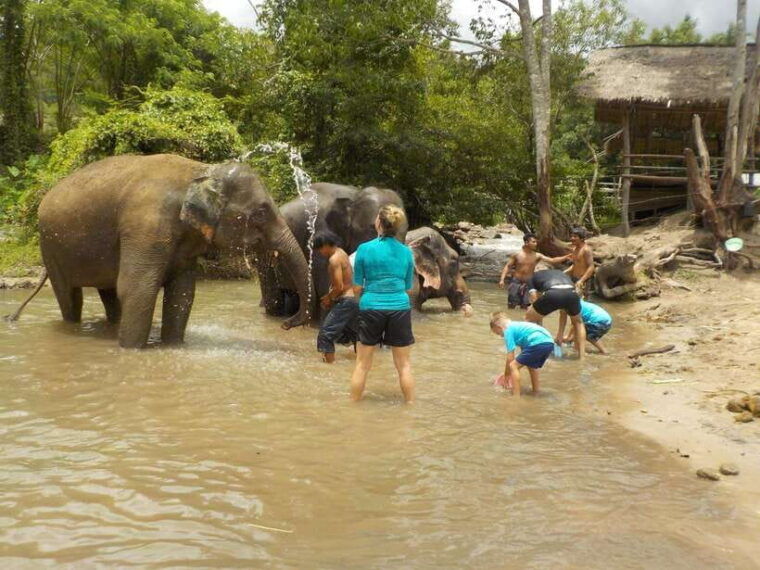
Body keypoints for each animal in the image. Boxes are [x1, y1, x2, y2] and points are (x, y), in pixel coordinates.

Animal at [10, 154, 312, 348]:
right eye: (261, 212)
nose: (286, 324)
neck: (198, 172)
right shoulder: (145, 227)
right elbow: (138, 288)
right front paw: (131, 351)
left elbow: (183, 293)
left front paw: (174, 347)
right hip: (51, 247)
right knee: (70, 297)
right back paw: (74, 328)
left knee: (109, 293)